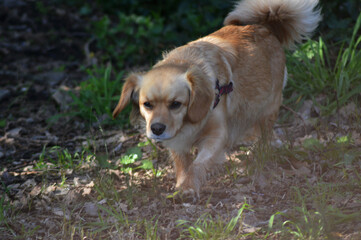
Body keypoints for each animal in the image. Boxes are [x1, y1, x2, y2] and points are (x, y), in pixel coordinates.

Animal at [112, 0, 320, 199]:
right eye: (147, 105)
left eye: (176, 104)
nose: (157, 129)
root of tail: (264, 25)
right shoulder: (178, 142)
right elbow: (183, 164)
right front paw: (182, 184)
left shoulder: (217, 135)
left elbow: (198, 164)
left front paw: (189, 186)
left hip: (269, 104)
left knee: (266, 130)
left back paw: (265, 150)